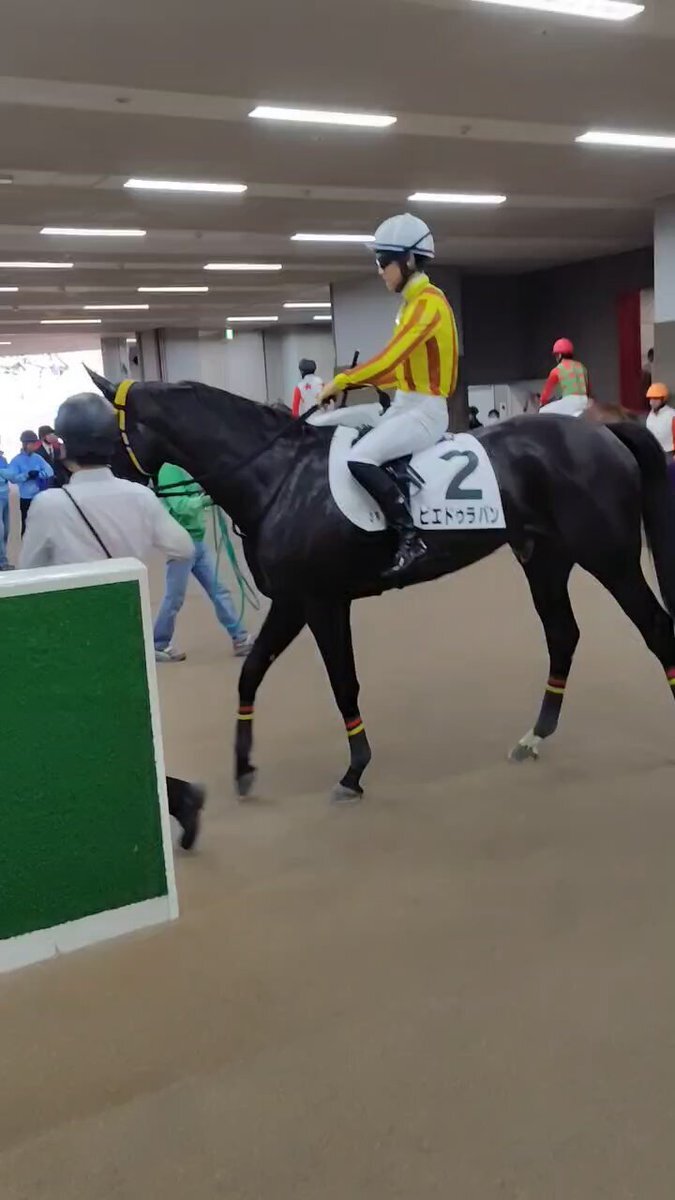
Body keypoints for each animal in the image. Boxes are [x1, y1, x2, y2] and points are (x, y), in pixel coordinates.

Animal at [89, 371, 675, 801]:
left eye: (104, 429)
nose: (106, 477)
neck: (279, 477)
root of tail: (599, 431)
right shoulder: (293, 602)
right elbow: (251, 673)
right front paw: (243, 767)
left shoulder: (323, 603)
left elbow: (342, 683)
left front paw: (354, 771)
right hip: (545, 560)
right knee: (563, 635)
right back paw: (534, 737)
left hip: (610, 560)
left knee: (656, 628)